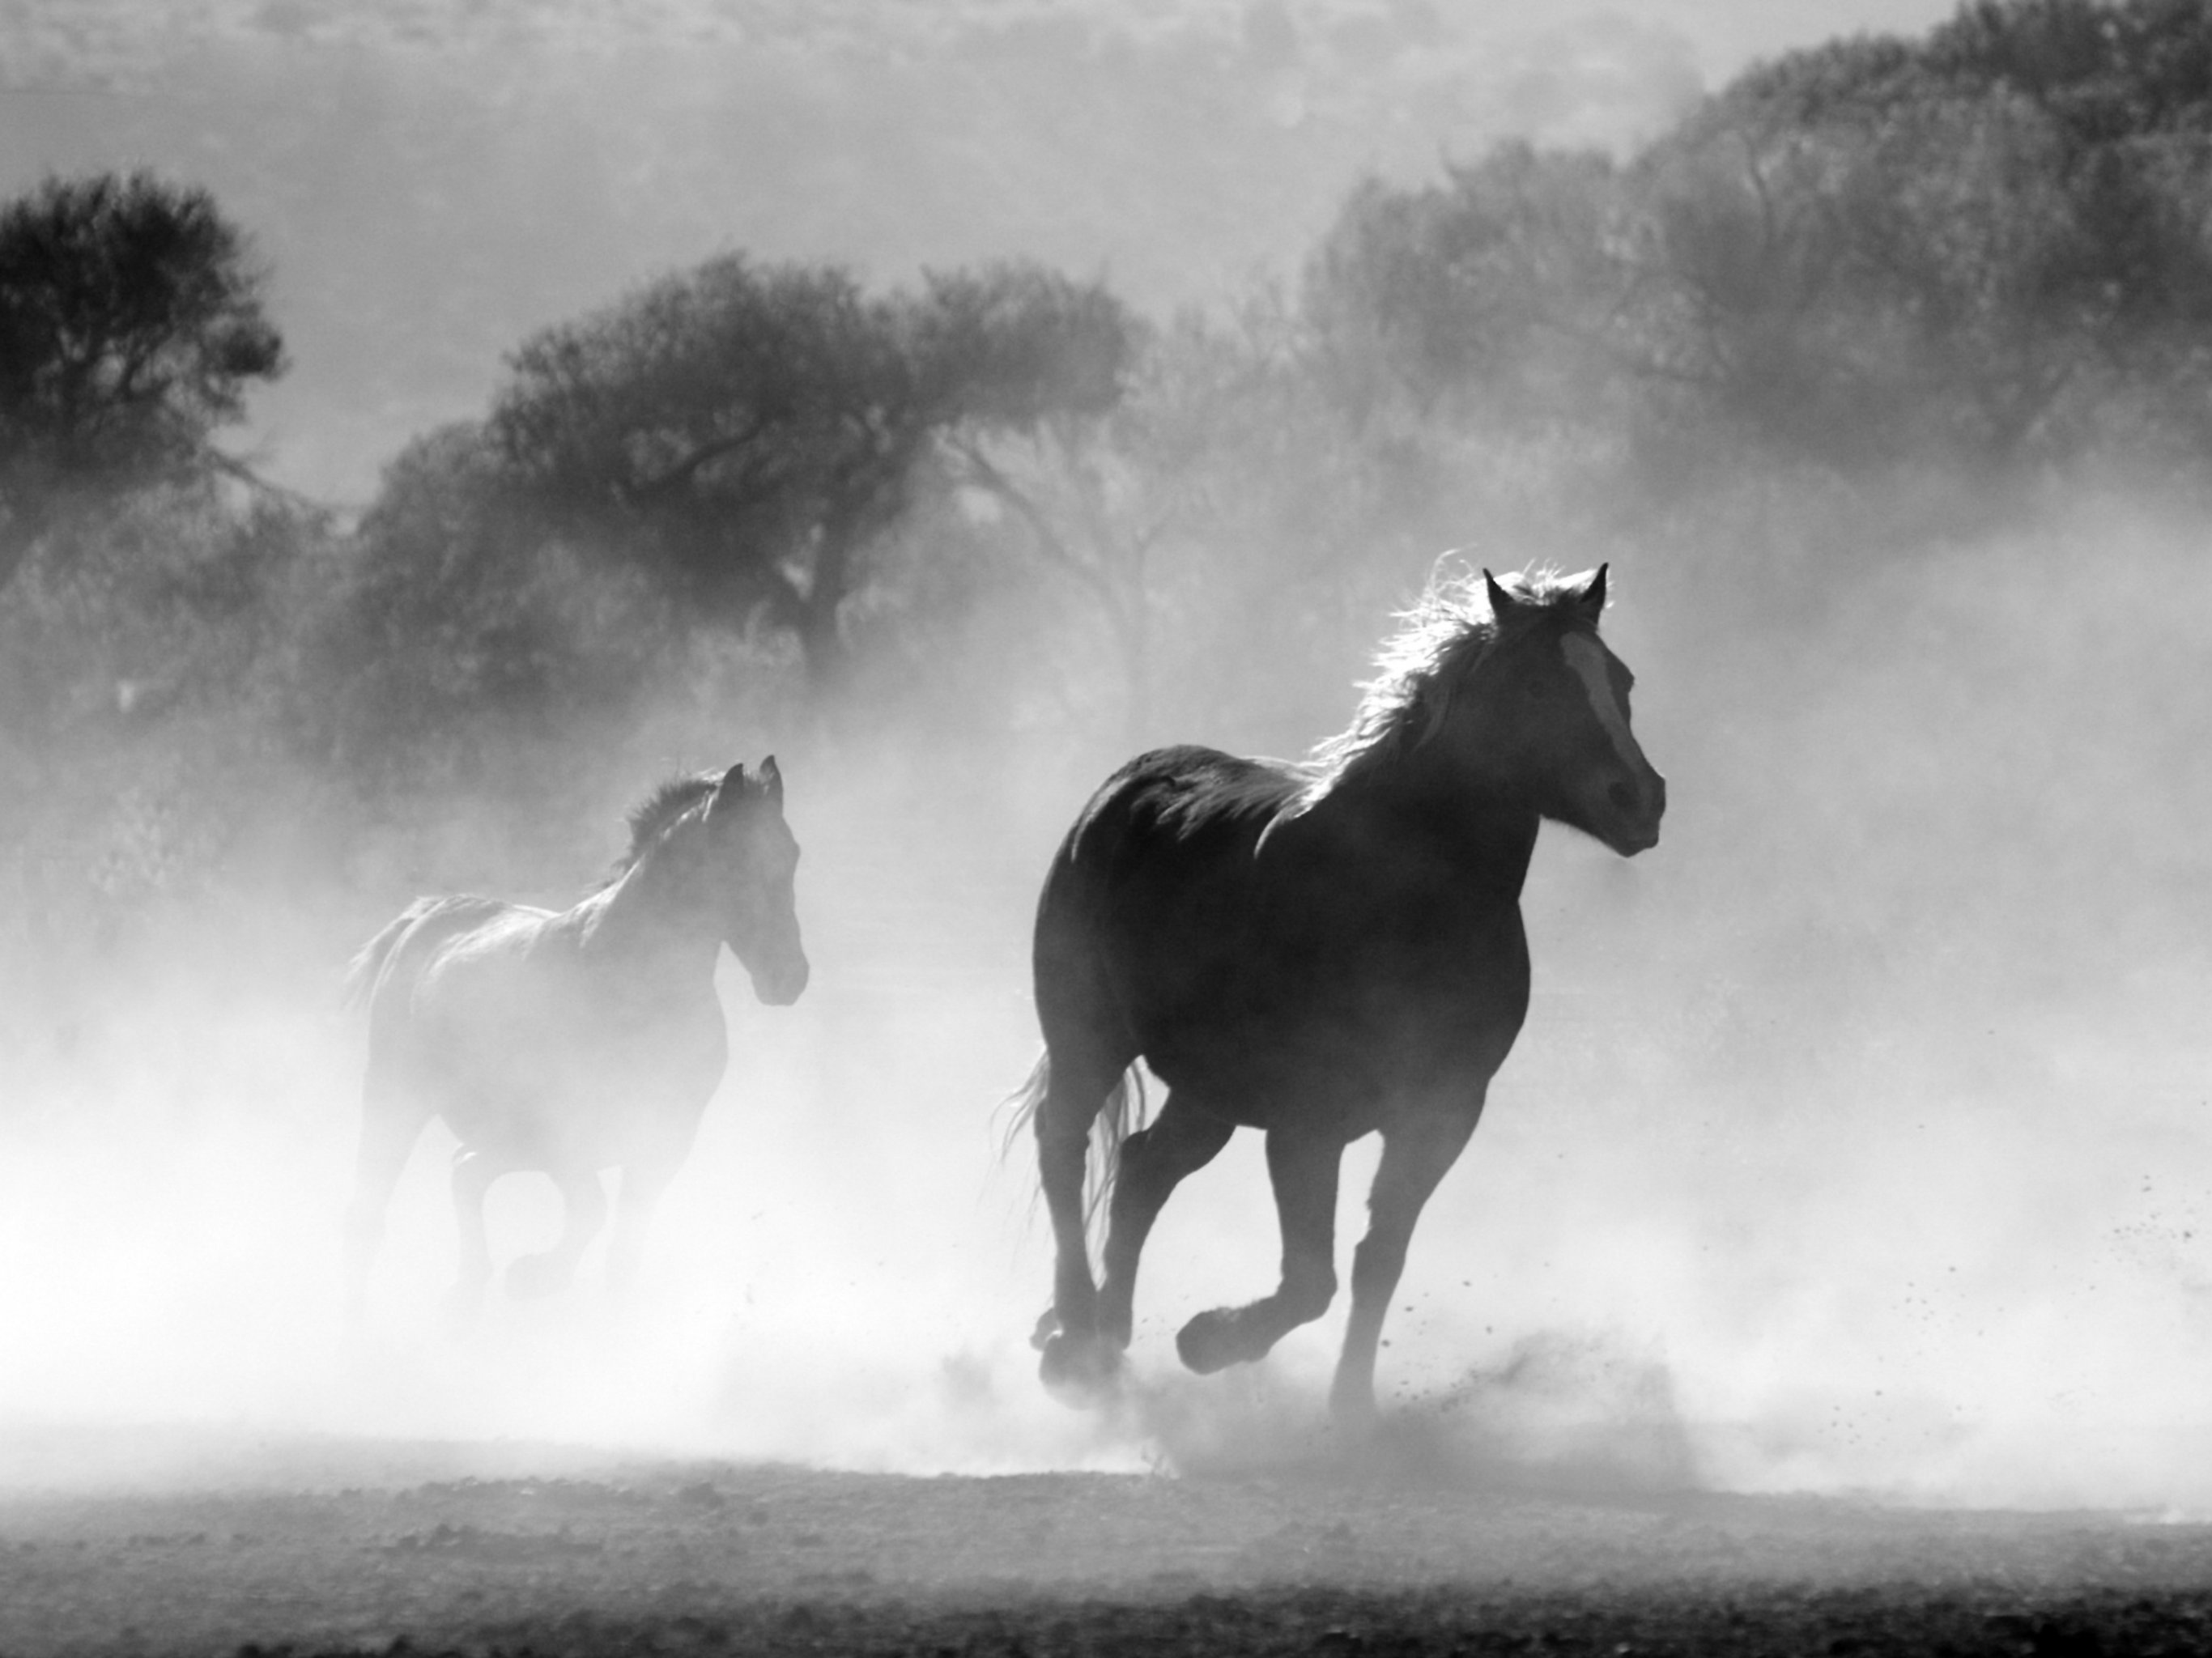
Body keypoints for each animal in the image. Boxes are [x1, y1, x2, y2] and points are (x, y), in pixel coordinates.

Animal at [341, 758, 808, 1322]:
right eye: (736, 860)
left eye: (792, 854)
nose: (789, 978)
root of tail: (424, 918)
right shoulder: (564, 1134)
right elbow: (590, 1211)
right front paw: (533, 1277)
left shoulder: (664, 1144)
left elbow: (622, 1251)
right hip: (396, 1097)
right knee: (375, 1205)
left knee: (464, 1172)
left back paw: (467, 1291)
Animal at [1009, 565, 1664, 1424]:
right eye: (1533, 685)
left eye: (1620, 680)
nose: (1640, 800)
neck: (1402, 901)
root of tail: (1123, 788)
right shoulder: (1306, 1123)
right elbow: (1310, 1280)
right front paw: (1210, 1340)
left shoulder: (1441, 1114)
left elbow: (1376, 1260)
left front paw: (1350, 1409)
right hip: (1090, 1038)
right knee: (1064, 1147)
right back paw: (1077, 1339)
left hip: (1209, 1091)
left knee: (1143, 1167)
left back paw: (1110, 1339)